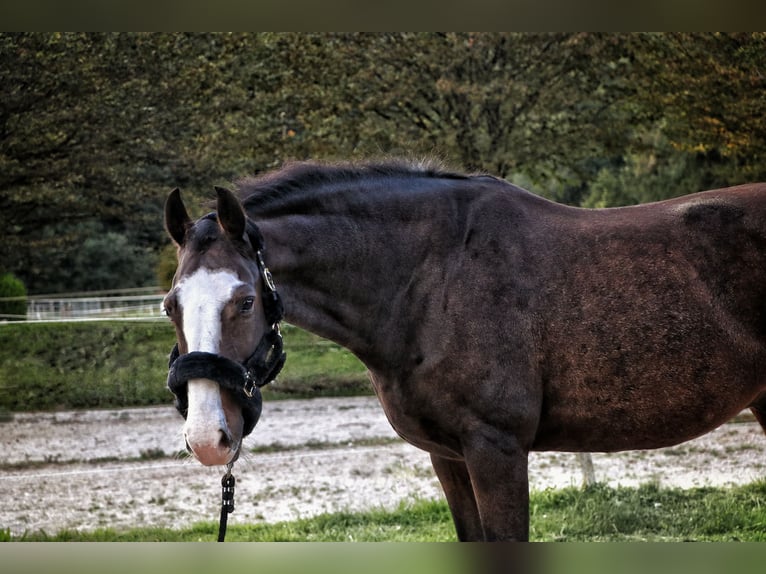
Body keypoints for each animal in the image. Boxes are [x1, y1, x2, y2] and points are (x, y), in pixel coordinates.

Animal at [163, 160, 766, 541]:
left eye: (244, 301)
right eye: (170, 305)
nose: (207, 437)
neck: (433, 277)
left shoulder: (496, 449)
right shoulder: (448, 455)